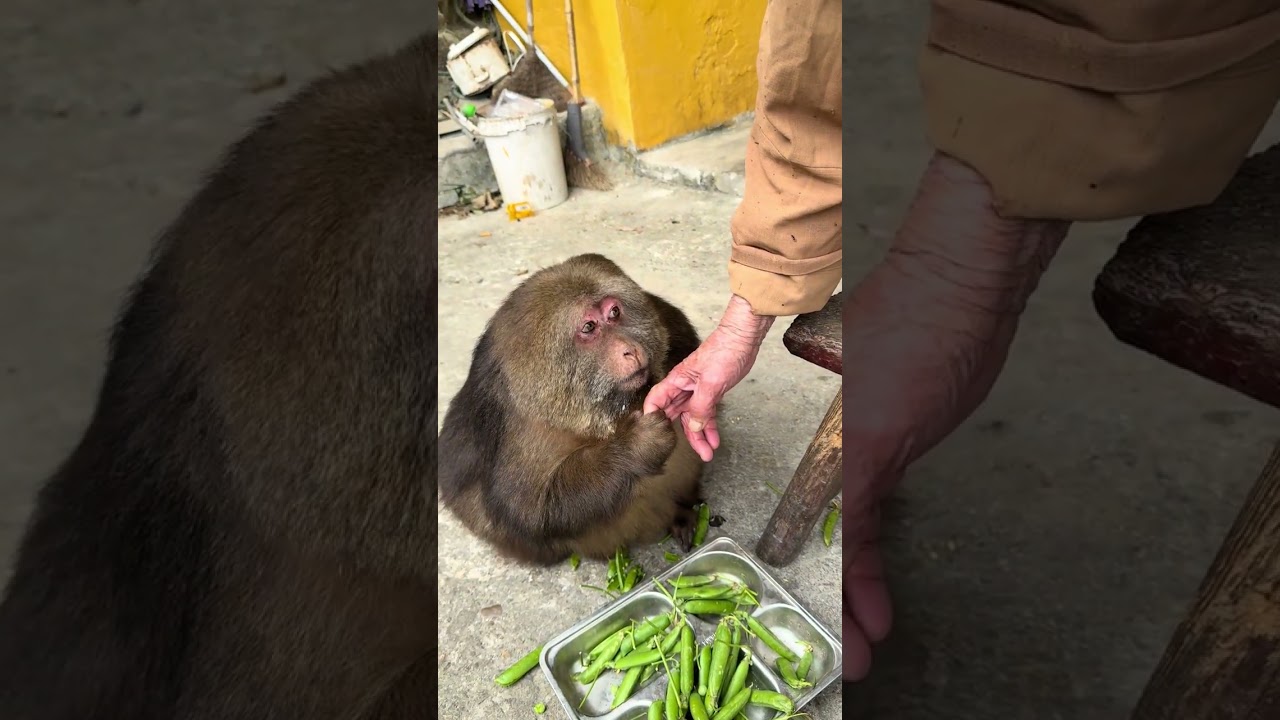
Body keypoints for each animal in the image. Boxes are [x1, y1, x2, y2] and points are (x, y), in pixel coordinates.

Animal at [438, 253, 713, 565]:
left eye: (614, 312)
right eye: (589, 328)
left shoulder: (668, 320)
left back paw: (682, 510)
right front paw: (634, 446)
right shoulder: (518, 425)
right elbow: (531, 510)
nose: (631, 349)